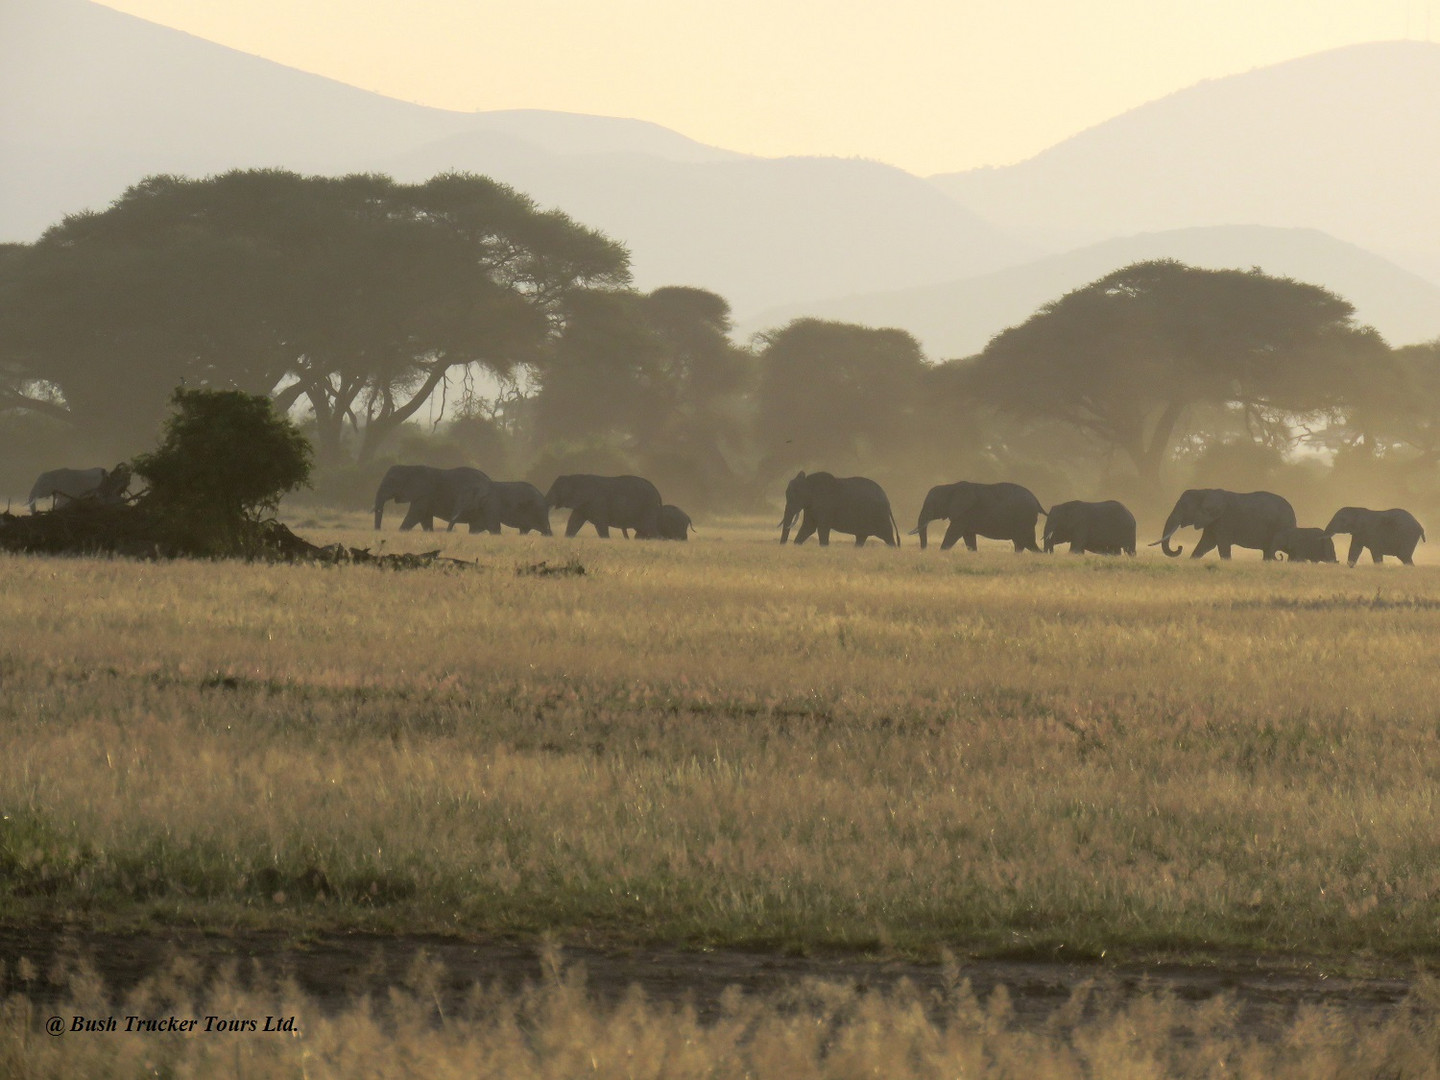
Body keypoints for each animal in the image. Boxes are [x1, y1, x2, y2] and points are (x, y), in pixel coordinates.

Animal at [1152, 489, 1301, 558]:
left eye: (1183, 506)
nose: (1179, 547)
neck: (1205, 491)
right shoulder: (1212, 521)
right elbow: (1205, 544)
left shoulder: (1223, 520)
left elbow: (1221, 545)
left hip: (1281, 526)